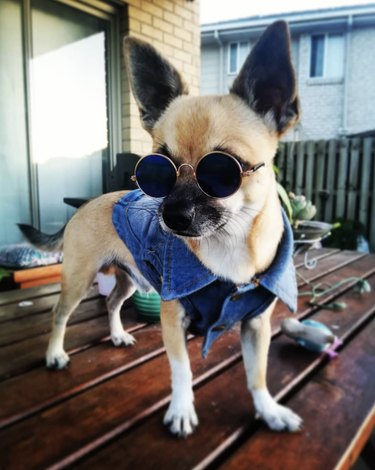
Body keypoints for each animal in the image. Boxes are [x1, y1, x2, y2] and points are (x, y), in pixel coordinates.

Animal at [19, 20, 302, 436]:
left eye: (224, 171)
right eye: (156, 167)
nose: (171, 215)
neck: (227, 246)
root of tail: (85, 204)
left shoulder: (256, 327)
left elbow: (258, 375)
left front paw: (268, 410)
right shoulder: (173, 319)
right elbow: (182, 370)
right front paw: (182, 410)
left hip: (129, 278)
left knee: (111, 302)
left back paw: (118, 334)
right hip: (79, 277)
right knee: (60, 313)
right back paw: (55, 353)